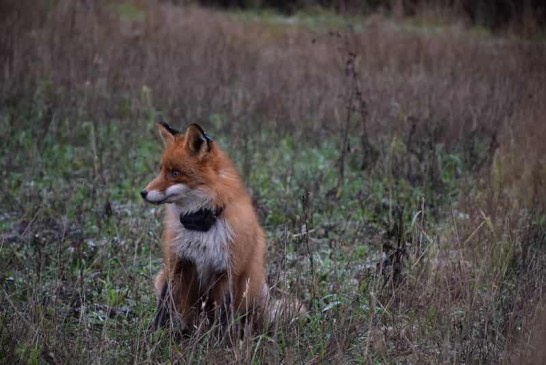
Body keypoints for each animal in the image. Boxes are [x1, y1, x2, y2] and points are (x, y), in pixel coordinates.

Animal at [140, 121, 298, 332]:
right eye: (161, 170)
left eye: (175, 173)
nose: (143, 192)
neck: (201, 224)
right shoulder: (177, 263)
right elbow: (164, 307)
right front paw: (155, 334)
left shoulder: (228, 271)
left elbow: (223, 317)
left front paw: (221, 340)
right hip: (162, 277)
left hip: (252, 290)